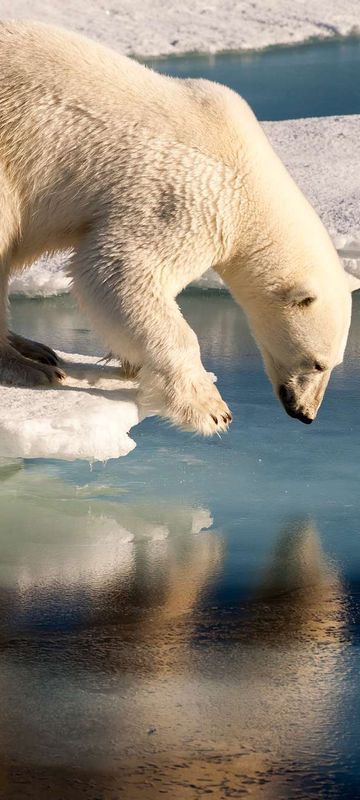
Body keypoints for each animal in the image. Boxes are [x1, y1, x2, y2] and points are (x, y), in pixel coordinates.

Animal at [0, 20, 352, 432]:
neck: (246, 168)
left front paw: (130, 360)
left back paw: (35, 349)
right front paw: (210, 408)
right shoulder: (186, 194)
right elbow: (116, 269)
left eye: (334, 363)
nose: (305, 414)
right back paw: (28, 366)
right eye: (317, 362)